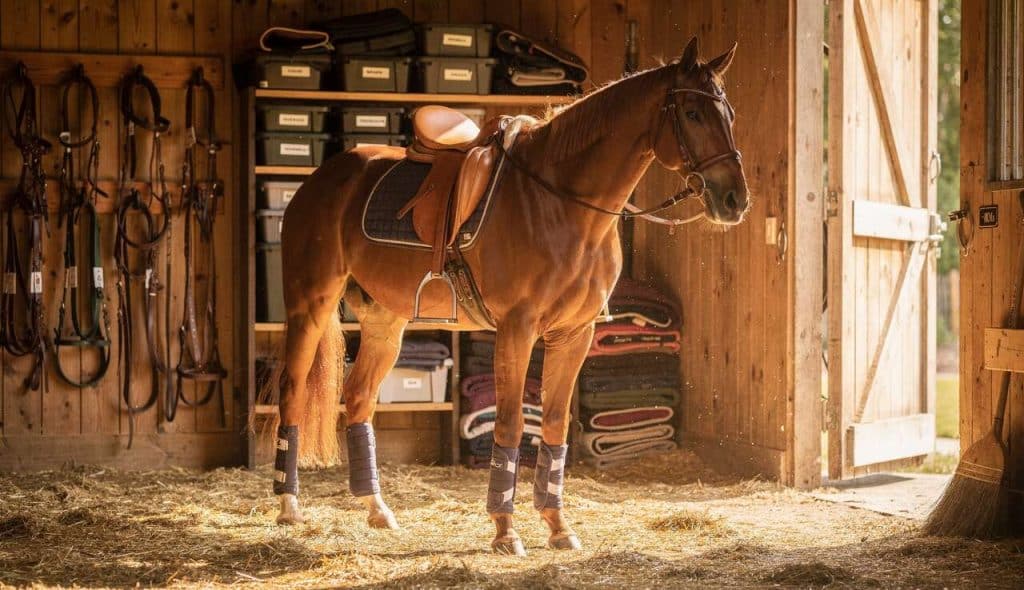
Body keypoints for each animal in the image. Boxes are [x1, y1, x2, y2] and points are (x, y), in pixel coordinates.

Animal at [270, 36, 749, 556]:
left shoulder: (575, 334)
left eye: (729, 114)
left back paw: (377, 509)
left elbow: (554, 425)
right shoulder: (517, 330)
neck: (561, 204)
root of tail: (321, 178)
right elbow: (512, 425)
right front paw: (505, 529)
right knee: (292, 392)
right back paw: (288, 507)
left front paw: (558, 526)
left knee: (358, 398)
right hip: (310, 306)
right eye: (692, 113)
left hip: (385, 323)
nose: (735, 200)